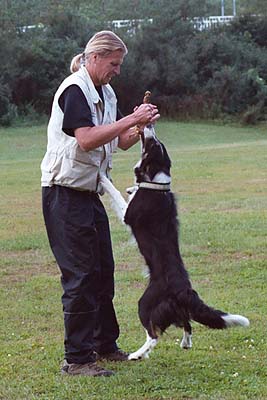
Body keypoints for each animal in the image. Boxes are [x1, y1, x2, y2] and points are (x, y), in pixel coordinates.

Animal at [99, 122, 250, 360]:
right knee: (187, 324)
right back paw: (185, 343)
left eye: (154, 144)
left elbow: (117, 195)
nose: (149, 123)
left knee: (154, 334)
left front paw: (102, 177)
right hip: (175, 309)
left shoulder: (128, 214)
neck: (156, 183)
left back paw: (137, 354)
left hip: (146, 303)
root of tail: (184, 290)